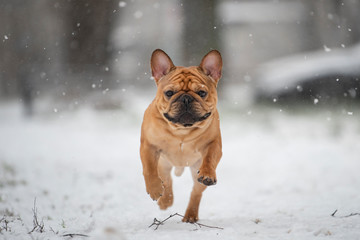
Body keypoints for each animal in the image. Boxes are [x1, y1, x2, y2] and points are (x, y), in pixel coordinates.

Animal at [140, 48, 222, 223]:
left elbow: (209, 158)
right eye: (169, 93)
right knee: (166, 180)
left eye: (202, 92)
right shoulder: (149, 146)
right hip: (163, 163)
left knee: (196, 191)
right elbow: (149, 169)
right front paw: (155, 189)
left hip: (195, 169)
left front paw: (208, 174)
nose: (186, 98)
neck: (181, 130)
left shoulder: (213, 144)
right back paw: (165, 200)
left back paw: (190, 215)